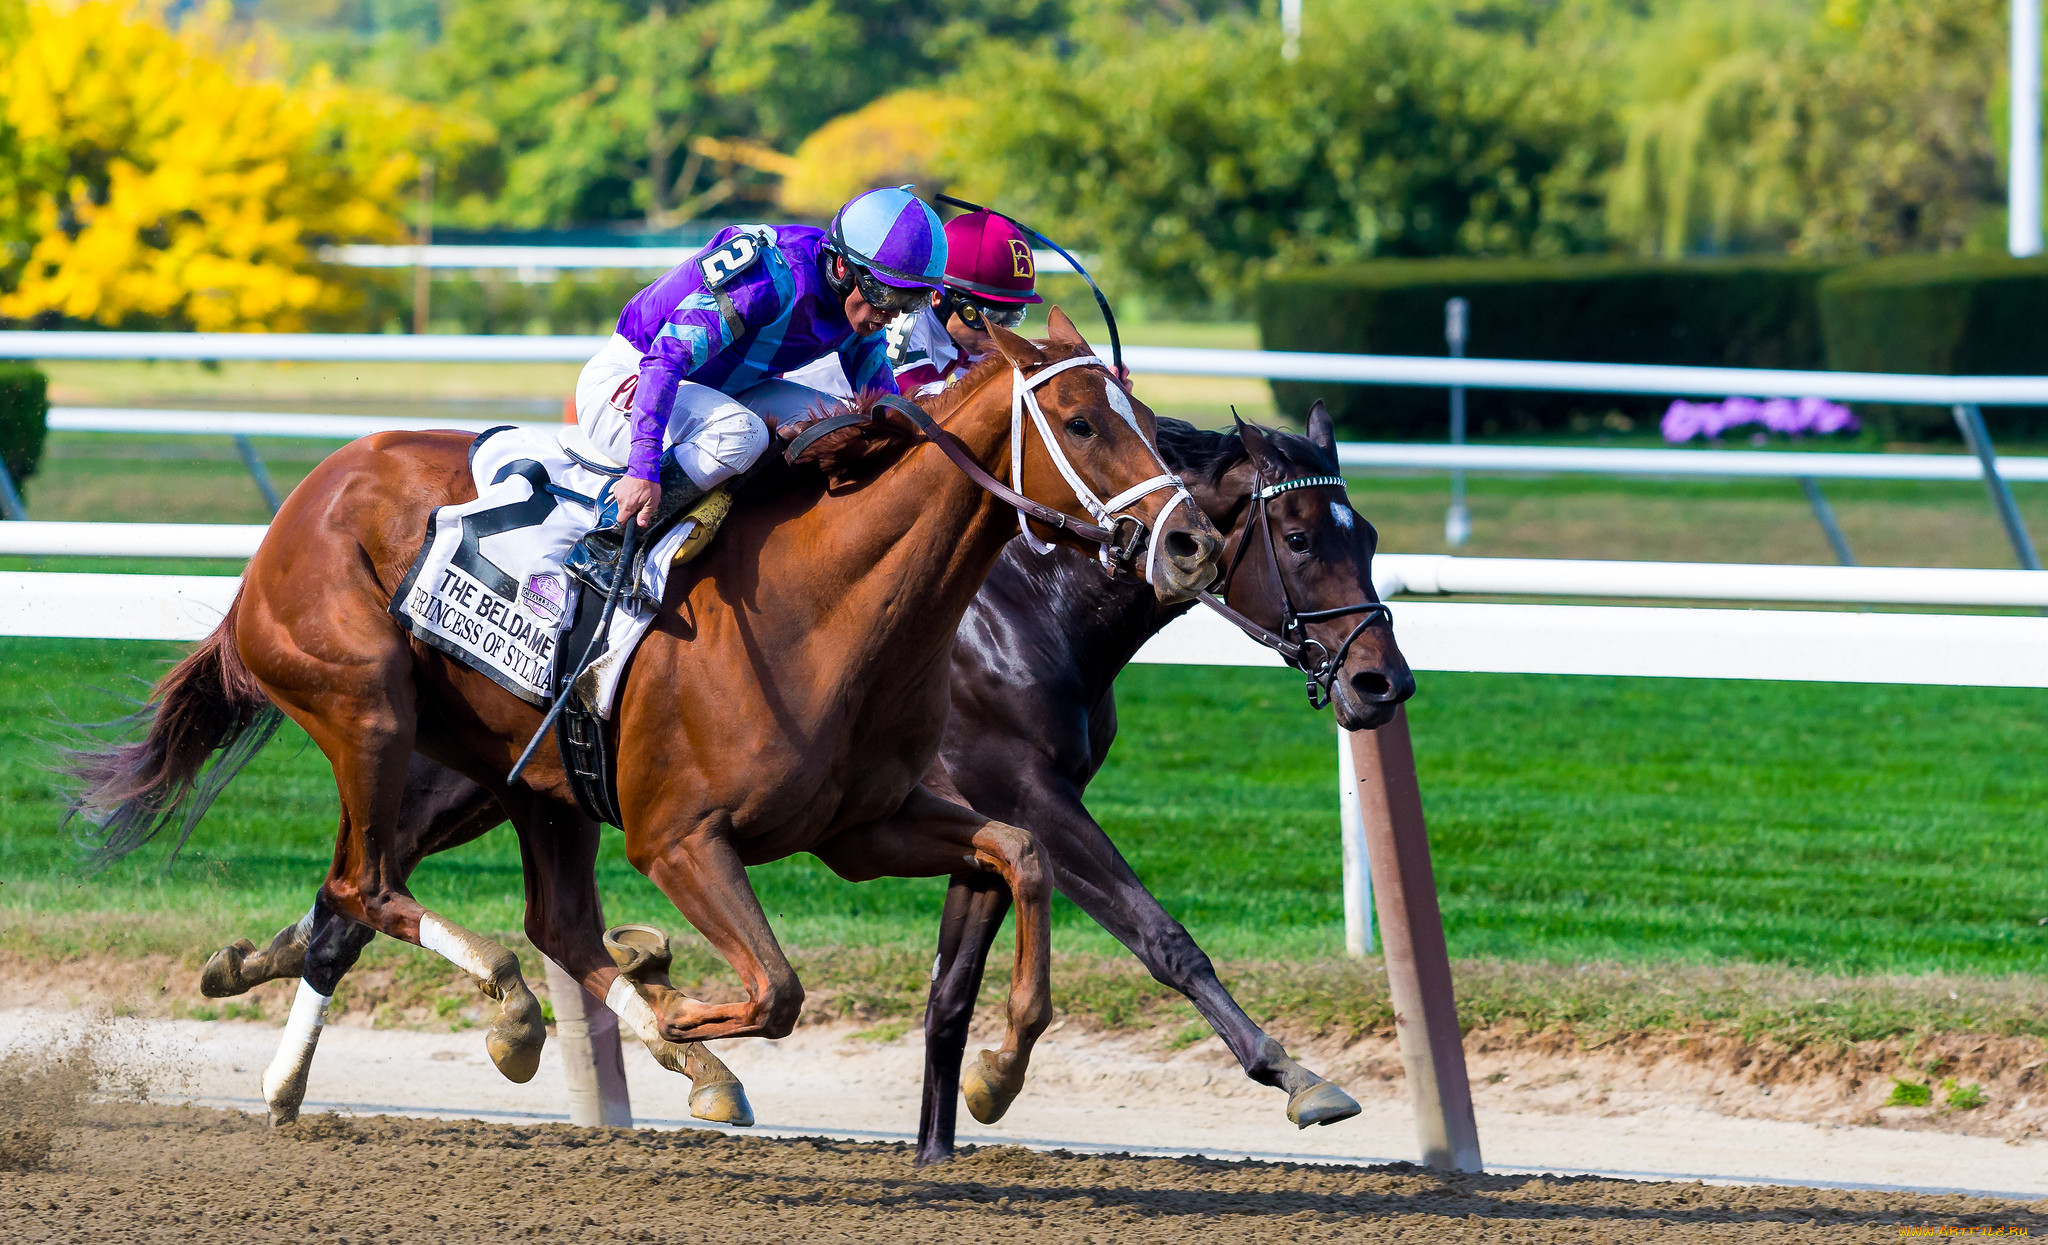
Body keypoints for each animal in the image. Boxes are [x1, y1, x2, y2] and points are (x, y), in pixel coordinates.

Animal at [72, 313, 1220, 1130]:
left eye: (1149, 419)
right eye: (1081, 424)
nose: (1193, 544)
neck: (827, 600)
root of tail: (298, 506)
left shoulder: (865, 825)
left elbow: (1019, 852)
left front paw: (997, 1069)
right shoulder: (680, 839)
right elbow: (777, 990)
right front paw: (668, 1010)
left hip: (530, 775)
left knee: (529, 920)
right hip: (368, 711)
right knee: (370, 886)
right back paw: (513, 1010)